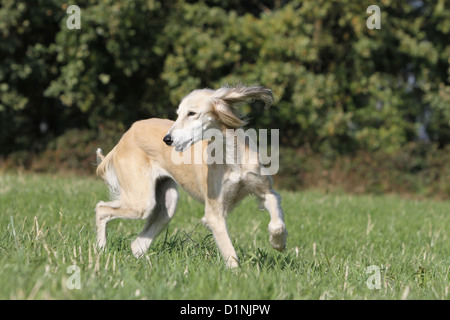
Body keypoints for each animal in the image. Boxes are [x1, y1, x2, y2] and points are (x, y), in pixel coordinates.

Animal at [96, 85, 288, 268]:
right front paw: (238, 274)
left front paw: (278, 243)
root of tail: (127, 134)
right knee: (101, 209)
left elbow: (277, 221)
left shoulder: (265, 191)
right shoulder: (214, 213)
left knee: (137, 244)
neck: (232, 159)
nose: (167, 139)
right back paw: (101, 251)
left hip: (167, 203)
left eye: (191, 113)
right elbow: (229, 251)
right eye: (178, 114)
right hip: (141, 202)